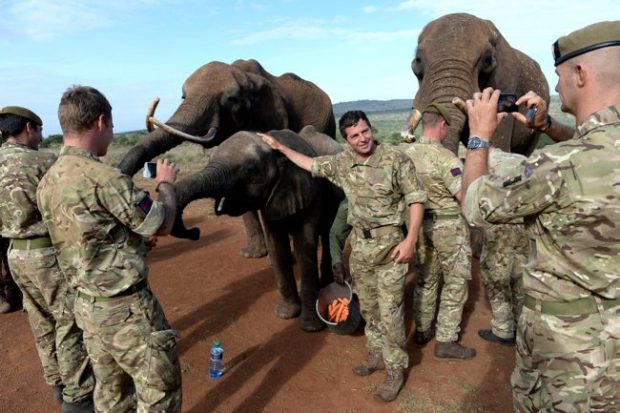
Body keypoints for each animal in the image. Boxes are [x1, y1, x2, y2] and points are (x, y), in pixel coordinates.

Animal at [170, 125, 344, 332]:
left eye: (251, 170)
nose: (195, 231)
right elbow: (276, 246)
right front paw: (285, 315)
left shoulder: (310, 189)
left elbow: (304, 244)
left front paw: (311, 328)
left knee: (326, 233)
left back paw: (325, 284)